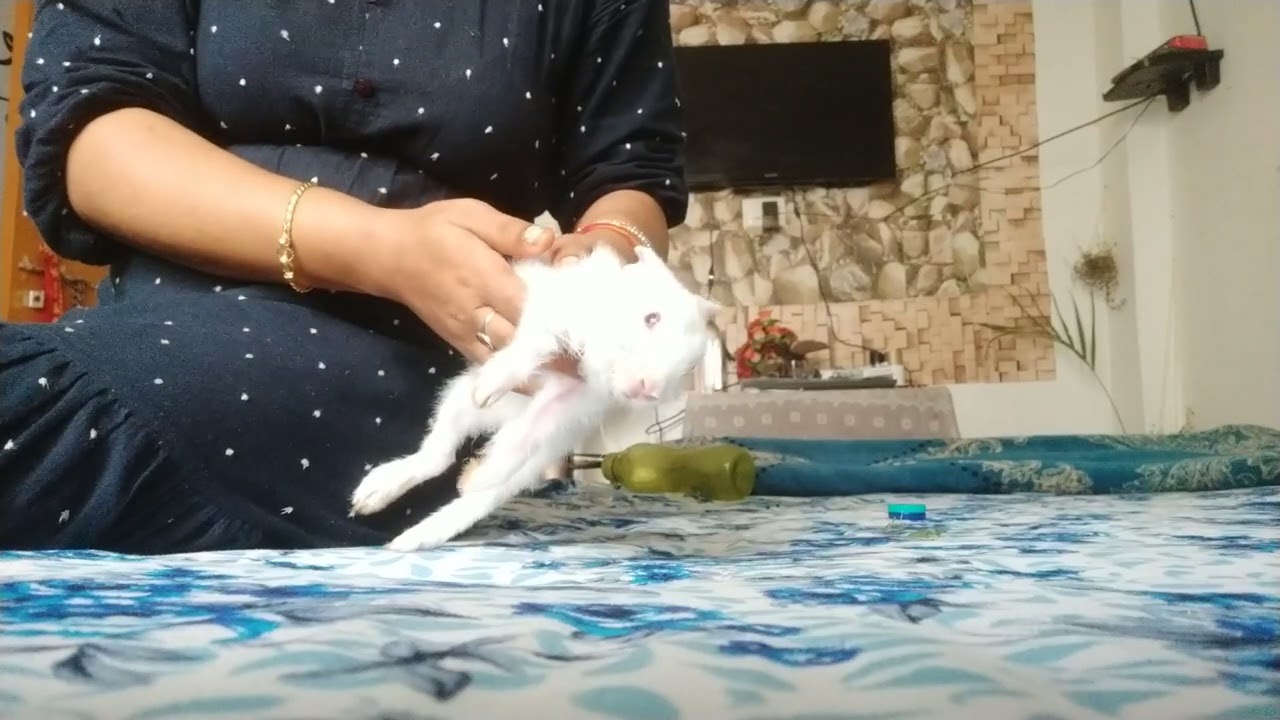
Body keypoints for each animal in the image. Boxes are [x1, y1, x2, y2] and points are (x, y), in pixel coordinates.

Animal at [349, 243, 720, 551]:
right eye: (651, 318)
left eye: (690, 364)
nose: (648, 387)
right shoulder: (551, 318)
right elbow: (536, 343)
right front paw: (492, 384)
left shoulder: (568, 400)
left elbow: (523, 435)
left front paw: (482, 471)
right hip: (459, 403)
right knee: (439, 452)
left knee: (469, 471)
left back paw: (453, 488)